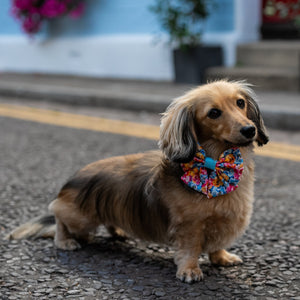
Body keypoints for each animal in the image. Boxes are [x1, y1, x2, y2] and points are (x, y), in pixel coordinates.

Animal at [8, 79, 268, 282]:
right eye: (213, 113)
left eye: (240, 103)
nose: (250, 130)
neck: (214, 166)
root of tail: (71, 180)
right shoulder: (189, 227)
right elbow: (190, 249)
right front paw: (189, 270)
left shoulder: (222, 222)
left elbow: (216, 245)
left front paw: (222, 258)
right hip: (79, 218)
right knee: (58, 217)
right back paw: (65, 241)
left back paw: (118, 230)